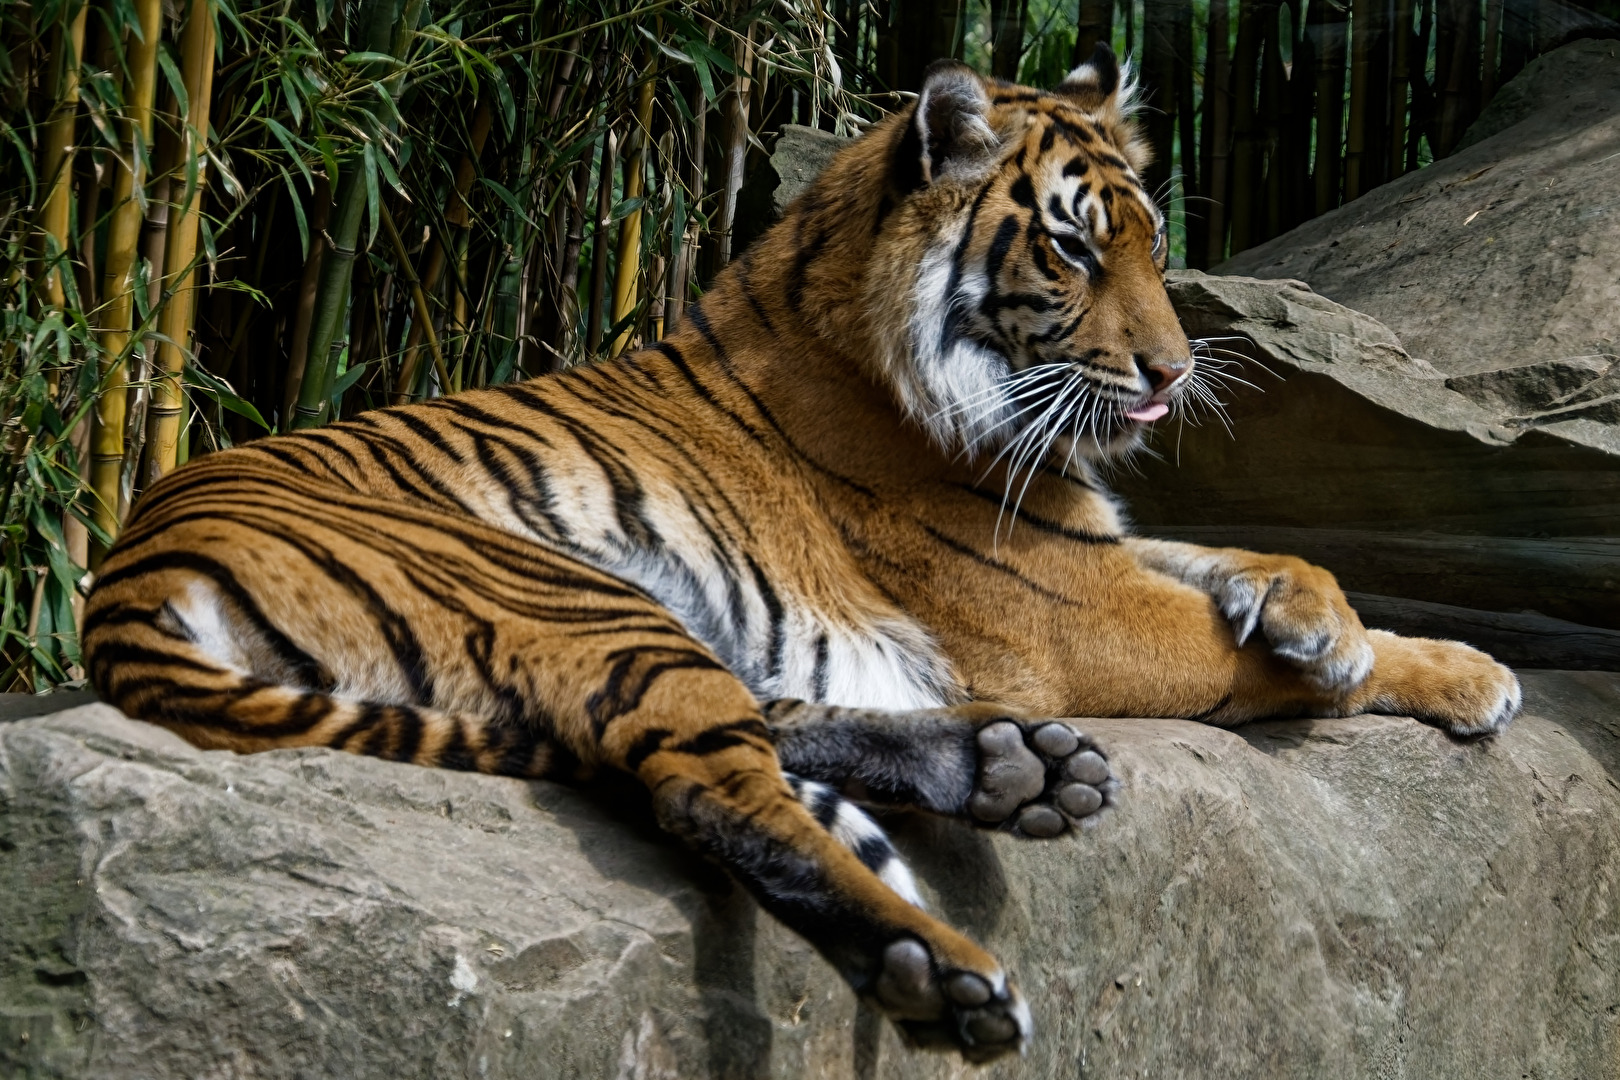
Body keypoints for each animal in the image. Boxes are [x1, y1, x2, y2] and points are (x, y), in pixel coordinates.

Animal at [82, 47, 1520, 1062]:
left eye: (1155, 246)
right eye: (1069, 248)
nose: (1171, 378)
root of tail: (127, 569)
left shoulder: (1091, 541)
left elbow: (1239, 553)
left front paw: (1340, 624)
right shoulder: (1067, 607)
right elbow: (1257, 656)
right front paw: (1432, 670)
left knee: (750, 733)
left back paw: (1010, 771)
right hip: (571, 590)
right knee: (706, 784)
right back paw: (940, 967)